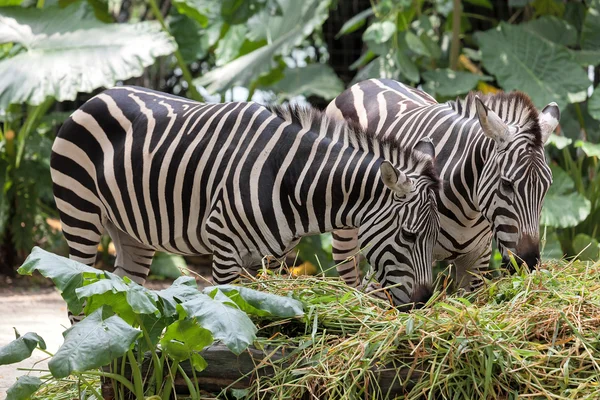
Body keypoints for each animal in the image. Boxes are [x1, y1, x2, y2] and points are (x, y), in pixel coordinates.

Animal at [50, 86, 440, 308]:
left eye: (435, 238)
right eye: (409, 236)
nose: (423, 302)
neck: (290, 180)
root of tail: (96, 95)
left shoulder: (270, 257)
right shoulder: (223, 244)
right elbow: (232, 309)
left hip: (131, 232)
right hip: (79, 212)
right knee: (79, 293)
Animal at [326, 79, 560, 290]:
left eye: (547, 186)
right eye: (507, 184)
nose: (529, 263)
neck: (468, 209)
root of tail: (365, 82)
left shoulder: (477, 259)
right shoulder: (401, 252)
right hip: (344, 231)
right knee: (350, 277)